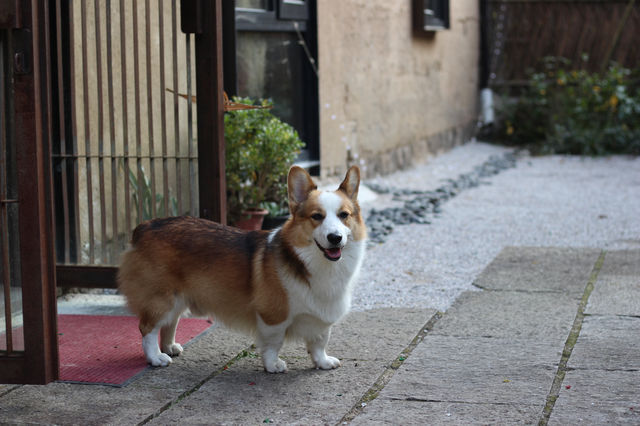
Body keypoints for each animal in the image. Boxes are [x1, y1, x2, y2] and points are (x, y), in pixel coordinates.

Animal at [115, 166, 364, 372]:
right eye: (317, 217)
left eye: (344, 215)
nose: (335, 238)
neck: (314, 263)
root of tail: (144, 227)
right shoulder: (273, 316)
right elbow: (274, 343)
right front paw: (272, 365)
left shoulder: (322, 318)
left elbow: (320, 341)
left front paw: (322, 362)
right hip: (160, 298)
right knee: (147, 328)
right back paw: (156, 358)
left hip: (177, 298)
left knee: (170, 322)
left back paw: (169, 348)